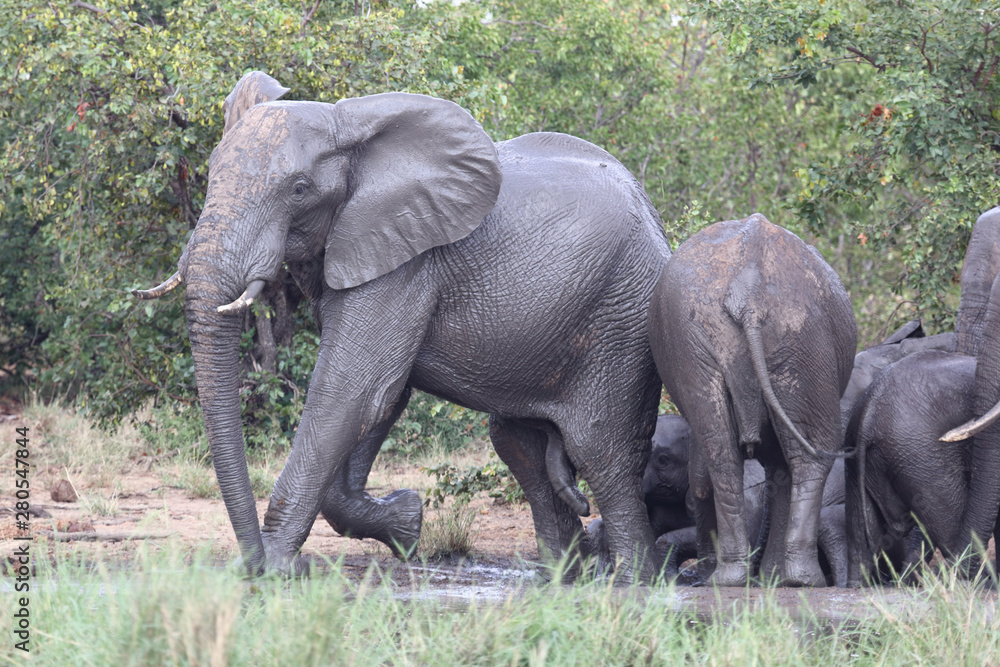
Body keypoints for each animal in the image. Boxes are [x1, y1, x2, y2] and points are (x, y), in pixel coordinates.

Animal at [133, 72, 673, 580]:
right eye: (209, 175)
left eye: (299, 190)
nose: (247, 565)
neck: (348, 130)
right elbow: (381, 399)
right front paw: (406, 523)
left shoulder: (407, 261)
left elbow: (354, 389)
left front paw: (279, 571)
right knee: (520, 446)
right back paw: (564, 576)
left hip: (622, 318)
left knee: (600, 450)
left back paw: (630, 582)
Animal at [647, 213, 857, 586]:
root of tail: (750, 291)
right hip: (796, 335)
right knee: (800, 454)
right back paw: (785, 579)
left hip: (780, 335)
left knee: (728, 454)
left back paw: (752, 578)